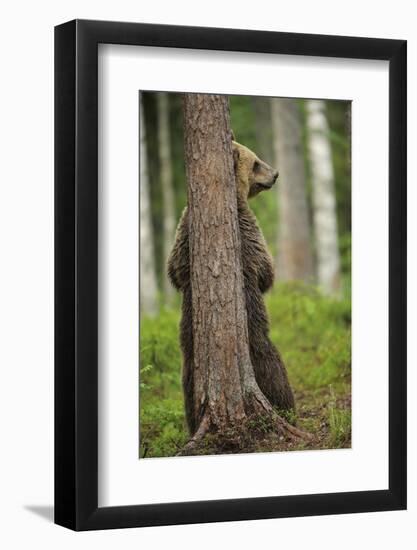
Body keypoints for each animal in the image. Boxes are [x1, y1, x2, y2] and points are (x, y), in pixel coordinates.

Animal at [167, 139, 294, 436]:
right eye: (256, 162)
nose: (275, 174)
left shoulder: (183, 231)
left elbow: (174, 270)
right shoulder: (248, 228)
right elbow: (265, 269)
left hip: (189, 359)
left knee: (188, 388)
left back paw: (193, 422)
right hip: (257, 341)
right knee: (274, 368)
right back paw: (287, 409)